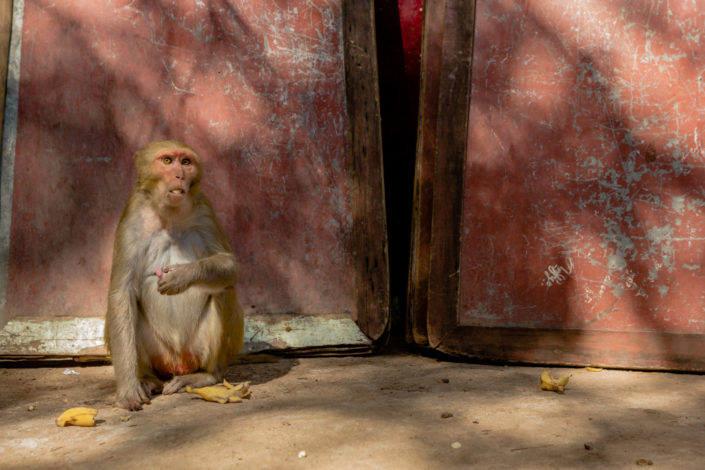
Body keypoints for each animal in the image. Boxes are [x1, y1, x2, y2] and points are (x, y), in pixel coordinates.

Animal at [104, 140, 245, 412]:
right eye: (167, 161)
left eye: (186, 162)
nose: (180, 175)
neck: (168, 214)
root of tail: (178, 362)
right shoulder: (133, 215)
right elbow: (121, 293)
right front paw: (127, 390)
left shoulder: (204, 208)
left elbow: (231, 265)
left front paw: (184, 276)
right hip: (158, 353)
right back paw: (146, 379)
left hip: (197, 350)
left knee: (223, 289)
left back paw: (207, 375)